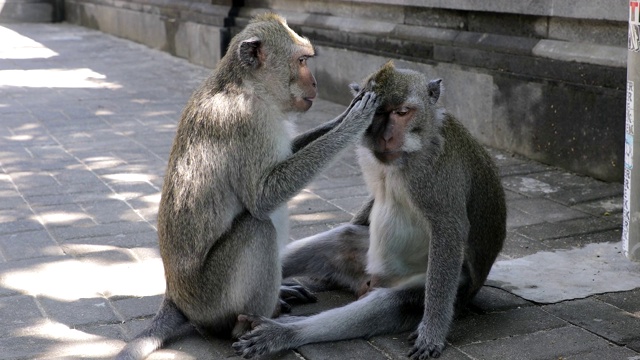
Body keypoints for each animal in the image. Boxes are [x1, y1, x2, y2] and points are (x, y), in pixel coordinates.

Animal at [115, 14, 378, 360]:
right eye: (302, 61)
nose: (315, 83)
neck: (248, 86)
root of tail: (175, 296)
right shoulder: (248, 122)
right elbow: (263, 197)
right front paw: (354, 121)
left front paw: (344, 114)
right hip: (211, 298)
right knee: (258, 227)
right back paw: (252, 324)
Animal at [232, 62, 508, 360]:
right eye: (378, 114)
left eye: (402, 112)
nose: (386, 136)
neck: (408, 153)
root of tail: (367, 282)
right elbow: (371, 203)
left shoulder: (439, 172)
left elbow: (448, 230)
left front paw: (432, 332)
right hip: (360, 259)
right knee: (340, 239)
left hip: (430, 287)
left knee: (385, 303)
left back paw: (283, 332)